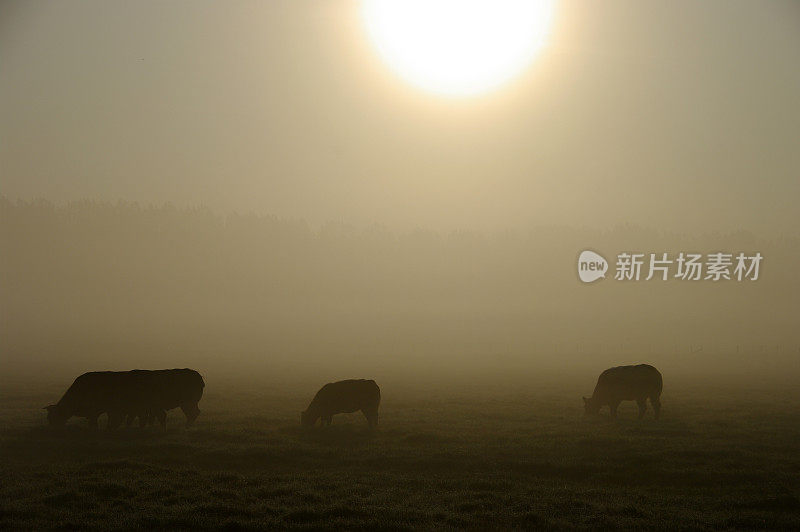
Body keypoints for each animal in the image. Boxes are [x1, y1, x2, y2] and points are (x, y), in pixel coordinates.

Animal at [45, 368, 205, 430]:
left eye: (53, 417)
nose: (53, 429)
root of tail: (198, 376)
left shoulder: (101, 410)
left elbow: (100, 422)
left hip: (187, 402)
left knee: (192, 414)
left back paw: (186, 427)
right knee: (192, 413)